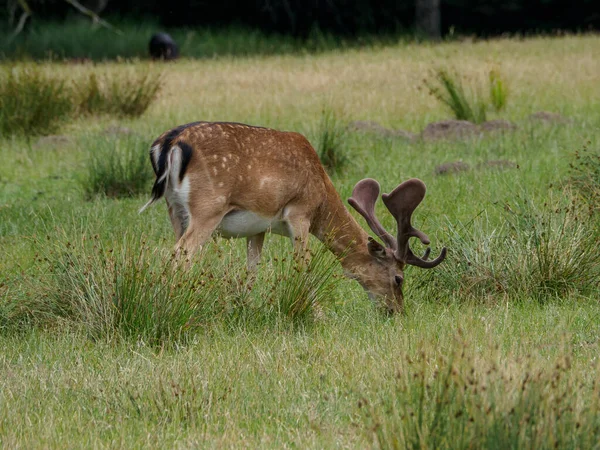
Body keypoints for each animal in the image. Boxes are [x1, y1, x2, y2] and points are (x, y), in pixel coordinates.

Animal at [138, 121, 442, 314]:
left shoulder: (257, 227)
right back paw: (176, 304)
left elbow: (252, 269)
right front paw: (315, 311)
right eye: (398, 278)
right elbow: (302, 264)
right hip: (208, 207)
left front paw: (243, 306)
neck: (322, 199)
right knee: (180, 254)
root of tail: (169, 144)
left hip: (174, 209)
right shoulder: (299, 212)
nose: (396, 312)